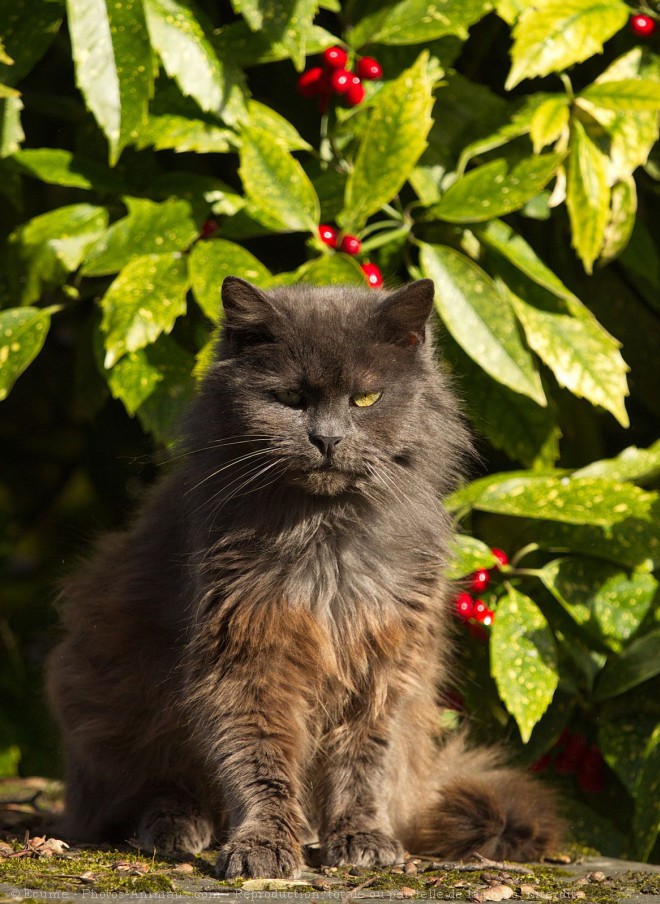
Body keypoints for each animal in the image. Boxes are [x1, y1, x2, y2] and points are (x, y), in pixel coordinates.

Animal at [46, 278, 564, 876]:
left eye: (366, 399)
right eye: (292, 399)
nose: (327, 439)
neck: (326, 538)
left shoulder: (385, 662)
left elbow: (363, 762)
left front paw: (360, 837)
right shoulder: (248, 652)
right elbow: (259, 759)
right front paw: (265, 844)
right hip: (108, 691)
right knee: (142, 791)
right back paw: (177, 826)